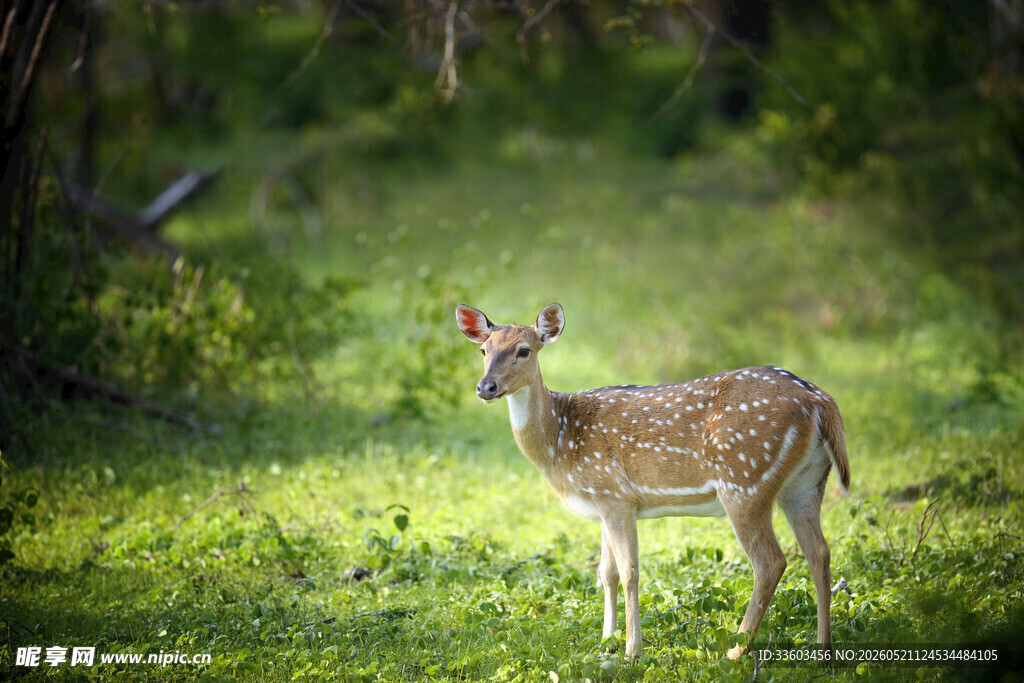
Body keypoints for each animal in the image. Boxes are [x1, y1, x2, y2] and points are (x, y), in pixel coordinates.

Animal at [455, 302, 851, 660]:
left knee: (771, 562)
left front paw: (632, 650)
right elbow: (607, 572)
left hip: (744, 480)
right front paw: (606, 642)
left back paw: (735, 652)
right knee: (819, 552)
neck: (560, 439)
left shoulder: (615, 495)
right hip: (805, 484)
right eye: (483, 350)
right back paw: (824, 649)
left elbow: (629, 571)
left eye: (524, 350)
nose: (485, 387)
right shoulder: (603, 502)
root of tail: (820, 401)